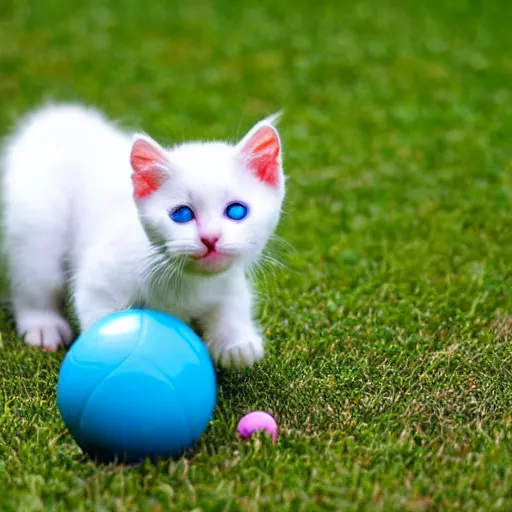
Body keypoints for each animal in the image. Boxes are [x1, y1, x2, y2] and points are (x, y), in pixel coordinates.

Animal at [1, 104, 284, 368]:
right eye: (182, 214)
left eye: (237, 211)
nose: (210, 238)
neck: (186, 282)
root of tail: (59, 117)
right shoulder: (98, 281)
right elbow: (98, 314)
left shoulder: (227, 281)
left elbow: (233, 304)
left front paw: (239, 344)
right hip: (38, 227)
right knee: (35, 278)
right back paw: (42, 325)